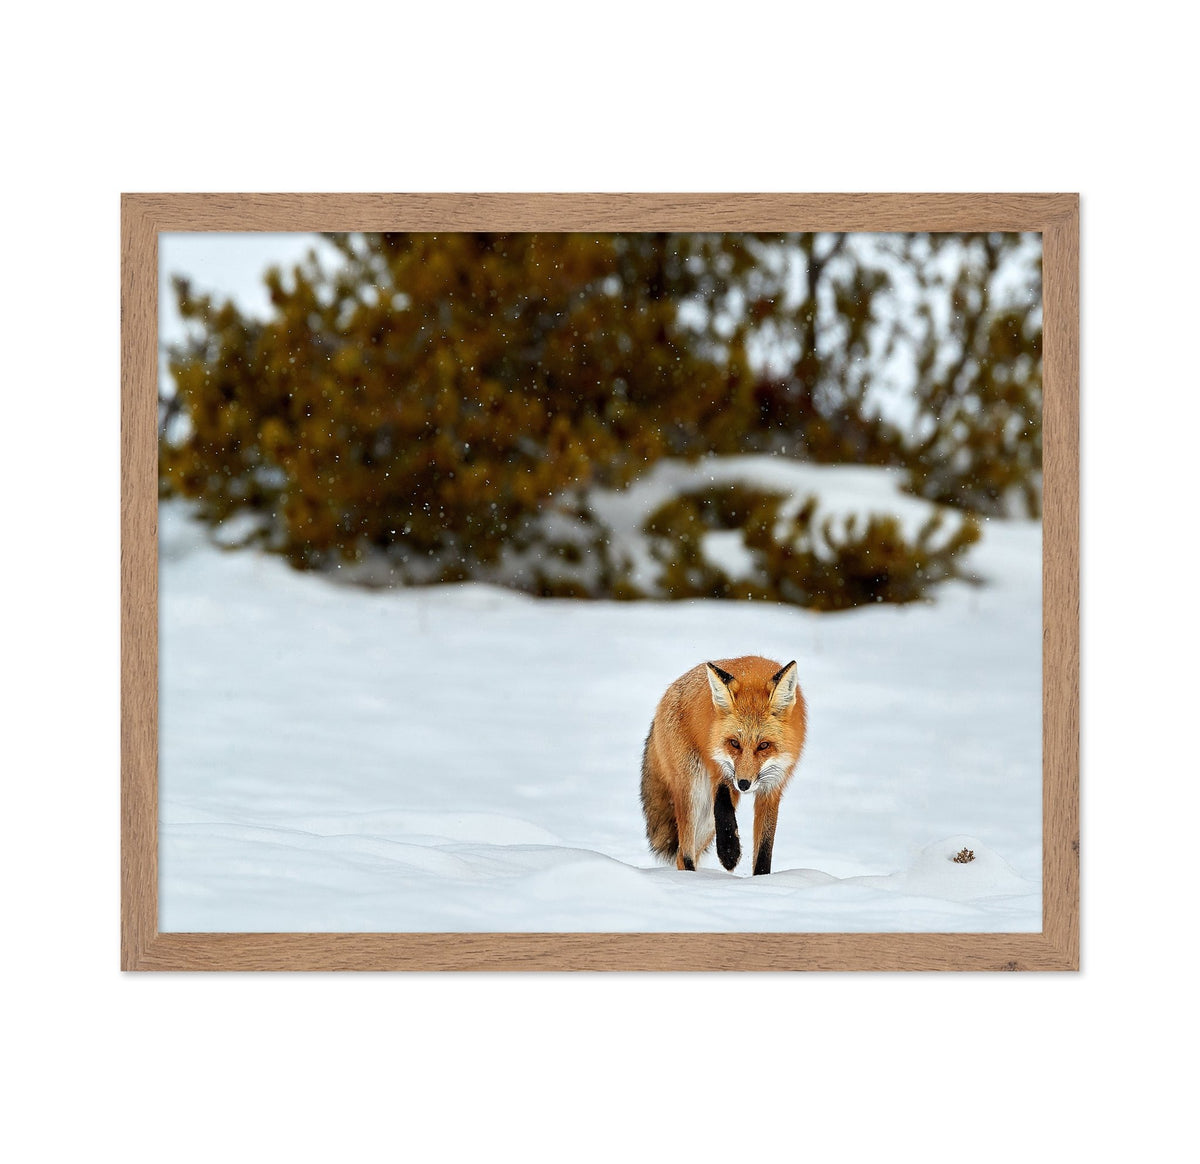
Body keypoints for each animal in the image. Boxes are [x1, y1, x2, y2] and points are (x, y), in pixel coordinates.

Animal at [640, 656, 806, 875]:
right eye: (734, 743)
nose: (743, 784)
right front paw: (729, 852)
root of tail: (668, 691)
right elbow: (723, 807)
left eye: (764, 745)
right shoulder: (720, 769)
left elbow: (764, 848)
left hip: (706, 820)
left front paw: (762, 880)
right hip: (693, 790)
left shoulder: (772, 787)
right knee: (685, 852)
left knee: (682, 855)